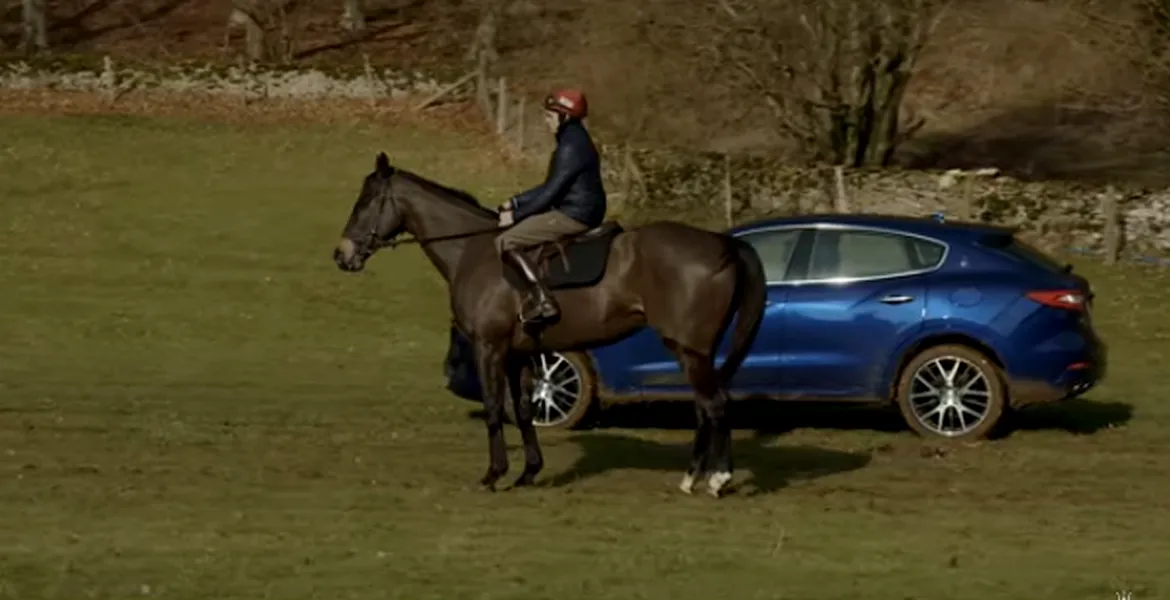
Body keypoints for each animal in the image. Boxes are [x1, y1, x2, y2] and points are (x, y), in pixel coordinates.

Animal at [332, 153, 767, 495]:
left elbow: (494, 408)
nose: (342, 255)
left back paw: (715, 479)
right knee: (707, 405)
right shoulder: (518, 354)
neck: (473, 251)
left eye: (366, 201)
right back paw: (697, 476)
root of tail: (723, 243)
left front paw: (493, 475)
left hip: (689, 350)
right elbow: (525, 410)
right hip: (696, 352)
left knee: (714, 404)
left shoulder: (489, 348)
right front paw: (528, 473)